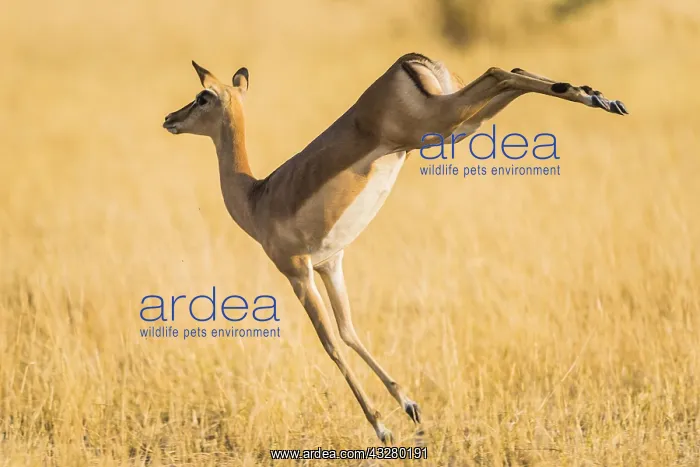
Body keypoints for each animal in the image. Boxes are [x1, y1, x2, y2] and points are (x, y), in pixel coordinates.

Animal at [162, 53, 627, 443]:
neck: (256, 196)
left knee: (499, 71)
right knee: (506, 71)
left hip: (437, 126)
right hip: (454, 128)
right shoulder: (331, 264)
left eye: (202, 97)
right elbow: (350, 332)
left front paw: (382, 427)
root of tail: (410, 59)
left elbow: (331, 345)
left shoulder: (297, 272)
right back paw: (600, 96)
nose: (170, 117)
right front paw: (409, 406)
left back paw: (599, 99)